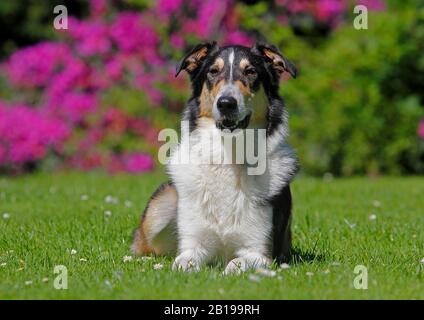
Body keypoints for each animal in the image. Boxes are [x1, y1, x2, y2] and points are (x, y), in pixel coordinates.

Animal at [132, 41, 298, 274]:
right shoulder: (193, 245)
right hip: (161, 205)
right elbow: (181, 262)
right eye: (213, 71)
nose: (226, 103)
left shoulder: (261, 252)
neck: (226, 157)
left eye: (251, 71)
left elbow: (236, 264)